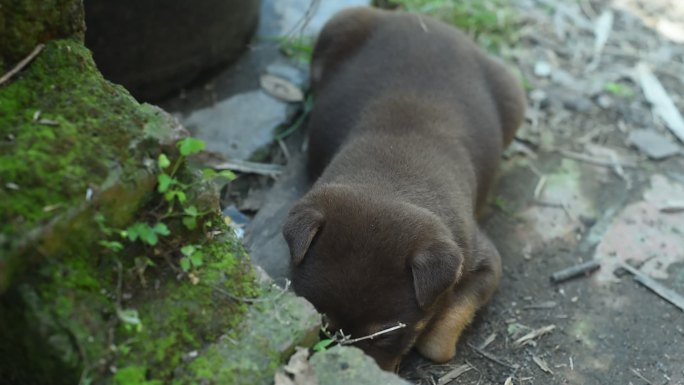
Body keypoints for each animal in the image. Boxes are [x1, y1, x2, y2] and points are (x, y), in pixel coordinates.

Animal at [280, 7, 528, 370]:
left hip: (513, 96)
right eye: (323, 326)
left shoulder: (486, 262)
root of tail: (428, 20)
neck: (390, 179)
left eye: (386, 336)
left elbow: (440, 337)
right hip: (337, 26)